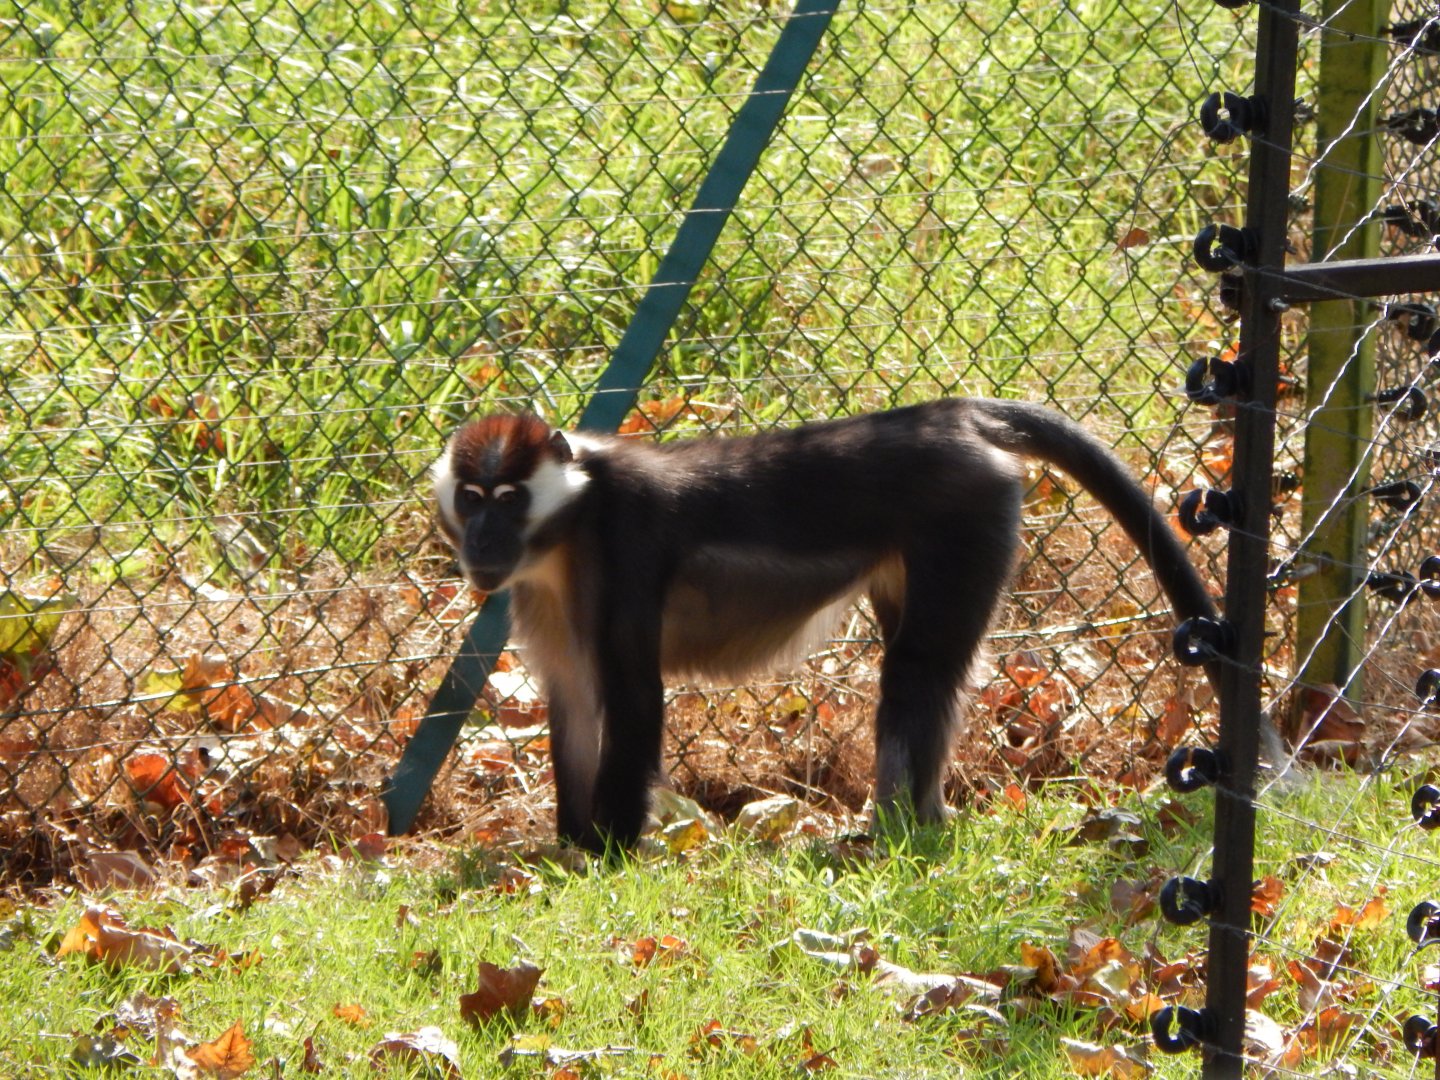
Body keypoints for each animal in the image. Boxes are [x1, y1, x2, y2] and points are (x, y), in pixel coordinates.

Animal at [431, 399, 1221, 853]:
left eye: (509, 498)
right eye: (471, 498)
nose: (484, 541)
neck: (566, 531)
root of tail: (954, 414)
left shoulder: (625, 546)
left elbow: (631, 697)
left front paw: (608, 854)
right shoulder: (538, 595)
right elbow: (572, 703)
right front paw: (568, 846)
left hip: (968, 516)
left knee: (918, 670)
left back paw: (897, 832)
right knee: (927, 675)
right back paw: (922, 821)